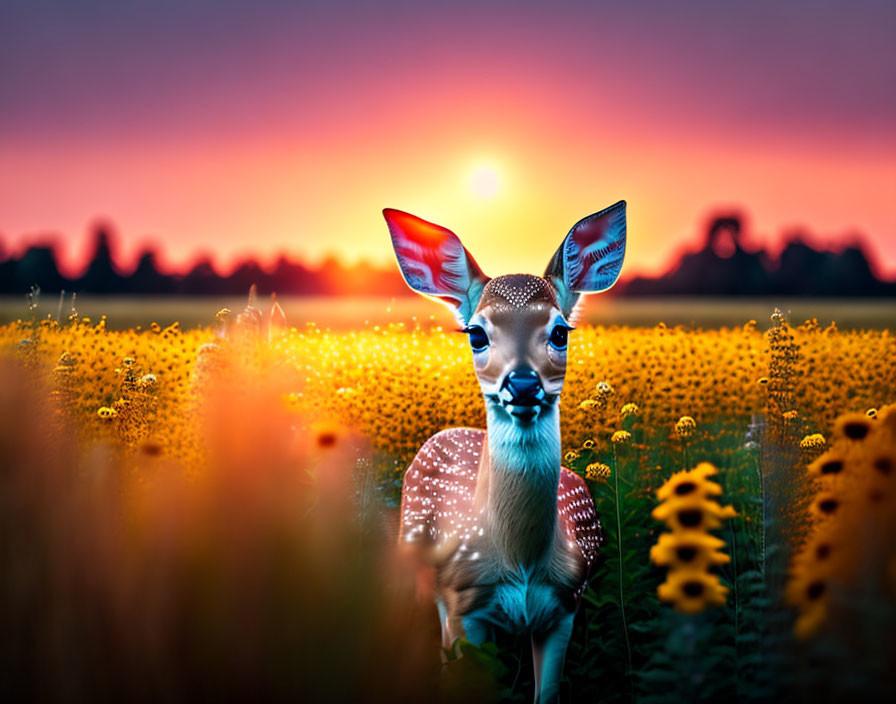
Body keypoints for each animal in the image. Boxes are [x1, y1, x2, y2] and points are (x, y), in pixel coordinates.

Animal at [384, 201, 632, 700]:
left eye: (560, 332)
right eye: (476, 334)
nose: (521, 384)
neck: (520, 562)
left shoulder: (565, 606)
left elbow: (547, 693)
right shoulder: (464, 606)